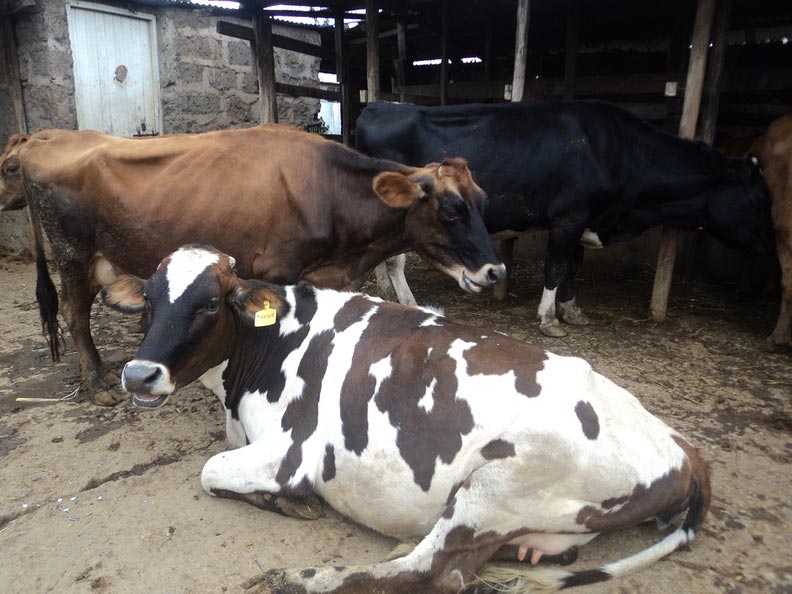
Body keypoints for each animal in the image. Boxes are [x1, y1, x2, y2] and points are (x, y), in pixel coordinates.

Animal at [0, 124, 504, 402]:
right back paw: (96, 381)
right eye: (451, 209)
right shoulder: (277, 271)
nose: (495, 272)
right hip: (73, 255)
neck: (329, 191)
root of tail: (41, 138)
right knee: (75, 316)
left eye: (482, 200)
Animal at [102, 243, 716, 588]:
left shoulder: (291, 452)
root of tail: (682, 445)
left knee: (433, 572)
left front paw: (290, 502)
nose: (138, 375)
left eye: (210, 303)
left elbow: (209, 472)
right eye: (150, 301)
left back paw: (306, 578)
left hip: (496, 484)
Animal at [358, 100, 772, 336]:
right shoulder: (569, 217)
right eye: (760, 199)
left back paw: (386, 294)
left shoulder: (583, 220)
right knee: (394, 260)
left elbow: (574, 266)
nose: (772, 242)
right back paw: (407, 300)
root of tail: (377, 105)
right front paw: (548, 318)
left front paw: (573, 311)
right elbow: (556, 266)